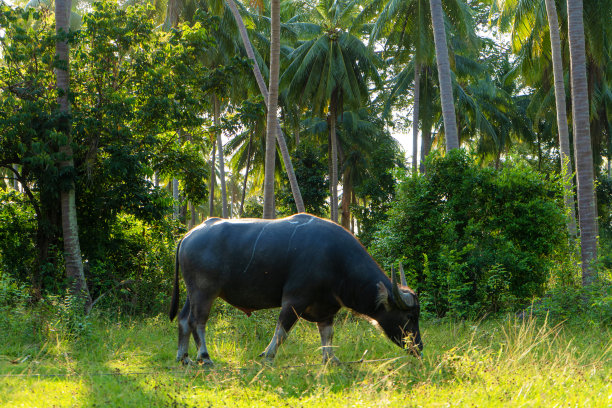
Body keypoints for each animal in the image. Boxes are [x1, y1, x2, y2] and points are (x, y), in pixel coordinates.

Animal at [170, 214, 424, 364]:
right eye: (410, 316)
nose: (419, 348)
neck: (336, 260)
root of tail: (189, 235)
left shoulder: (327, 307)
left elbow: (327, 334)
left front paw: (331, 359)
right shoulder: (294, 299)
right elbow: (282, 330)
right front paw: (267, 355)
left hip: (192, 291)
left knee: (183, 319)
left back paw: (183, 356)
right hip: (204, 291)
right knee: (197, 321)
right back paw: (204, 357)